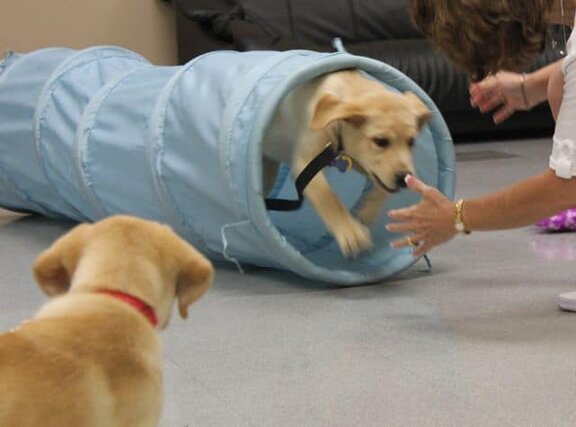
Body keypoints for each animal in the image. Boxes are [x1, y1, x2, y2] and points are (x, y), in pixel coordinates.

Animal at [264, 70, 430, 258]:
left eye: (411, 142)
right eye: (380, 141)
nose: (404, 179)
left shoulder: (359, 160)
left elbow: (382, 190)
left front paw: (366, 213)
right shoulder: (305, 164)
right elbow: (328, 197)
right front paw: (351, 232)